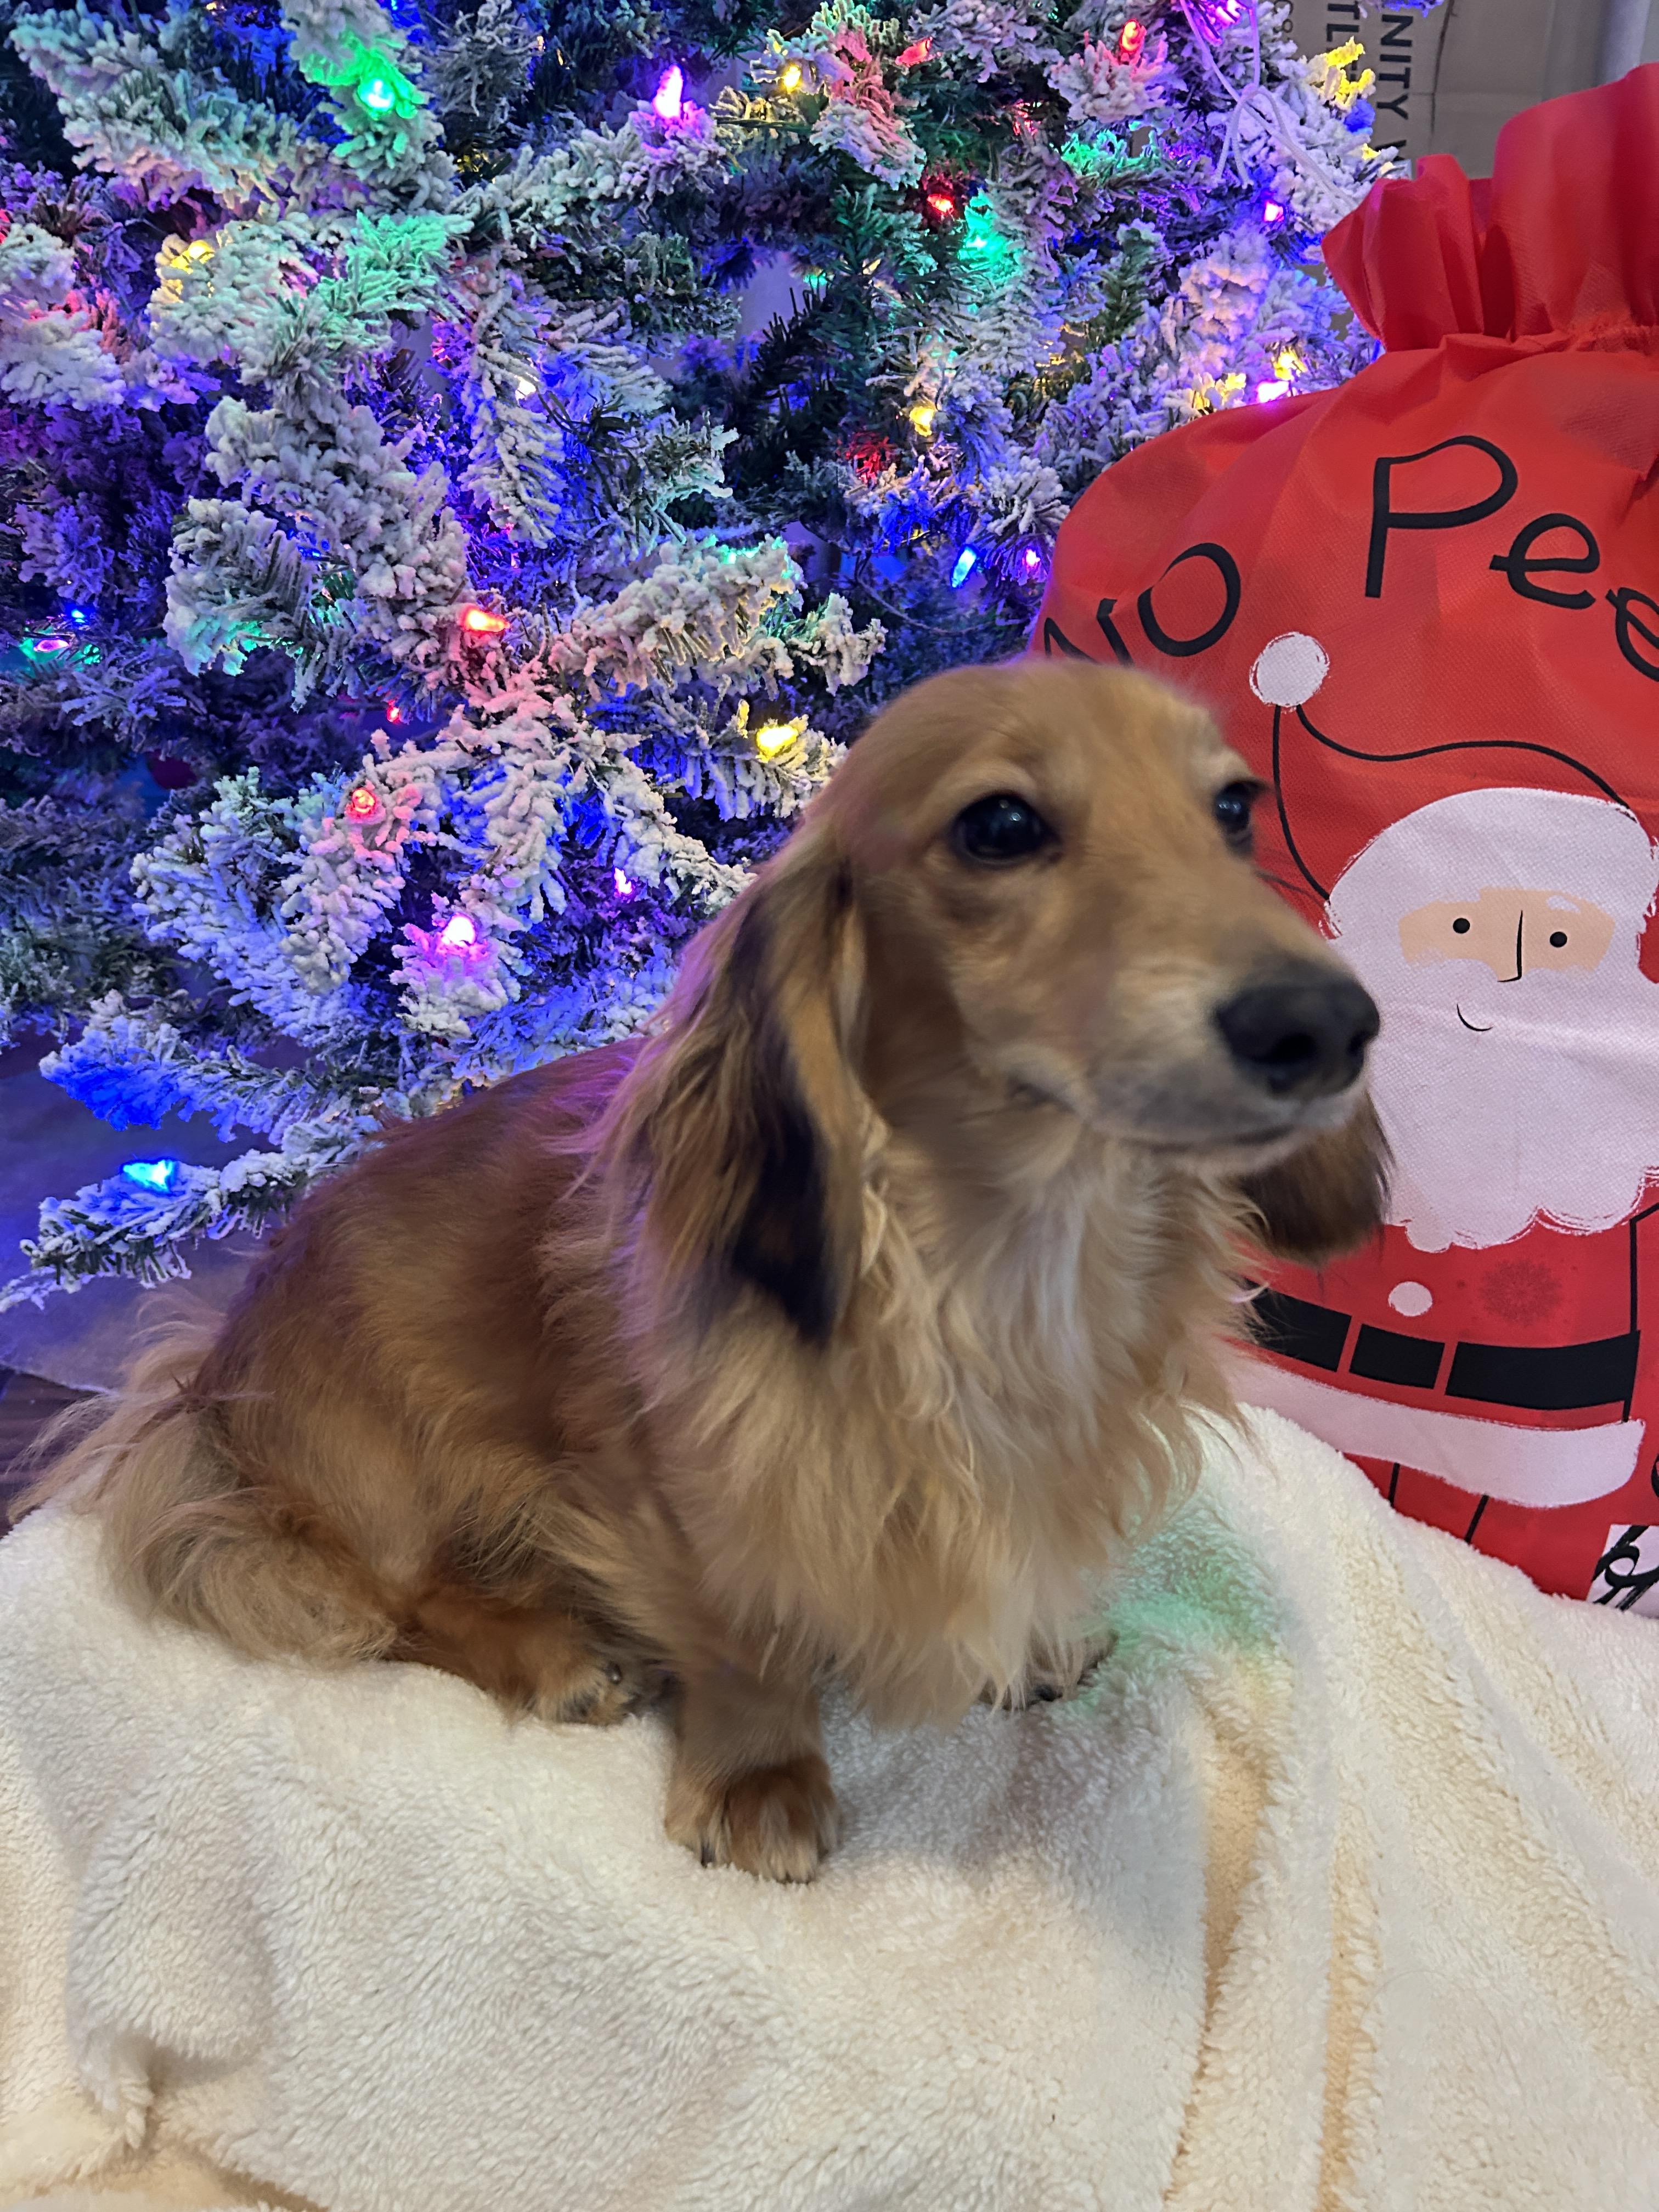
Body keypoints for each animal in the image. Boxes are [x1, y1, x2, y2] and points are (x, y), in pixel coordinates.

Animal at [23, 660, 1384, 1881]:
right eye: (1000, 825)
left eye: (1233, 808)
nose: (1329, 1027)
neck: (993, 1263)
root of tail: (207, 1381)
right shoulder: (679, 1492)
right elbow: (745, 1640)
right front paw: (759, 1776)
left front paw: (1037, 1638)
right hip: (389, 1471)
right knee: (394, 1603)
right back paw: (554, 1653)